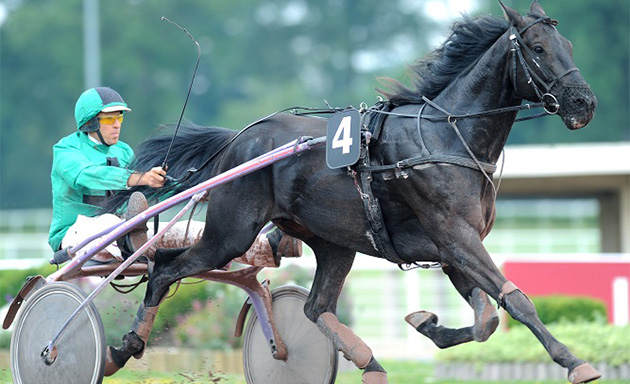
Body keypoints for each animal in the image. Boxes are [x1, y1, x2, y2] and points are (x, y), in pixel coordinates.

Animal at [105, 1, 604, 382]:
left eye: (568, 46)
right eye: (538, 48)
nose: (584, 102)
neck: (446, 137)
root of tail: (240, 139)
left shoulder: (452, 247)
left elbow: (487, 319)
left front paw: (427, 322)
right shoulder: (456, 237)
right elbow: (514, 301)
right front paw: (575, 362)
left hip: (333, 241)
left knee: (314, 306)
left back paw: (370, 362)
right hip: (232, 232)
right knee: (165, 270)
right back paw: (124, 347)